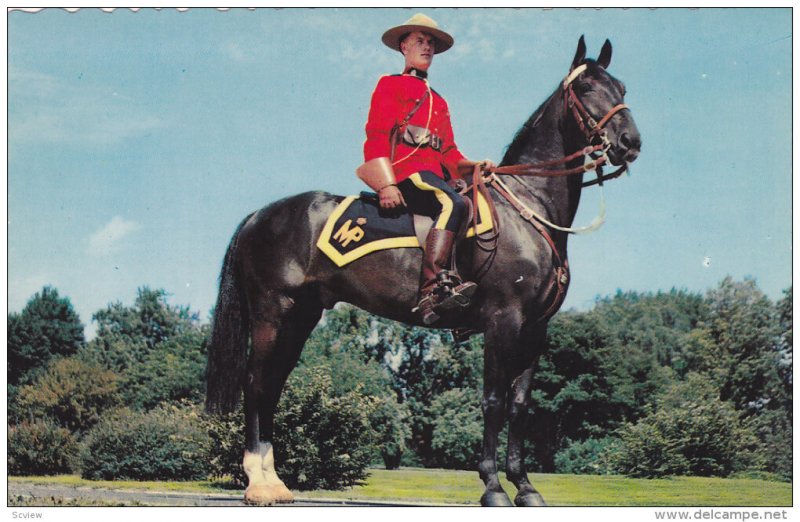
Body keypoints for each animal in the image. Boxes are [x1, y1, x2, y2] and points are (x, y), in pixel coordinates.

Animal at [208, 37, 644, 504]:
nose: (630, 141)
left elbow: (519, 406)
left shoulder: (535, 329)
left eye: (621, 86)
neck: (529, 210)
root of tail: (258, 215)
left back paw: (274, 481)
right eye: (585, 87)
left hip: (300, 317)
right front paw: (492, 487)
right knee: (256, 384)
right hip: (273, 313)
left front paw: (525, 488)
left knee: (272, 386)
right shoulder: (503, 321)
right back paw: (258, 484)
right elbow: (493, 401)